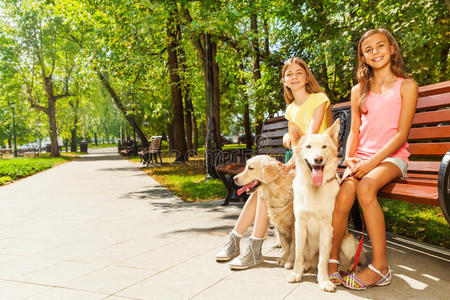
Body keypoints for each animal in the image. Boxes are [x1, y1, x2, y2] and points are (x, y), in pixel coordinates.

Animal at [286, 118, 360, 292]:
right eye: (308, 146)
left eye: (324, 147)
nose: (318, 159)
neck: (314, 188)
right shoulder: (300, 226)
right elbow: (298, 254)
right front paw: (296, 273)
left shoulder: (327, 228)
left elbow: (323, 259)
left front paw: (324, 280)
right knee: (306, 258)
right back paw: (305, 266)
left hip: (349, 242)